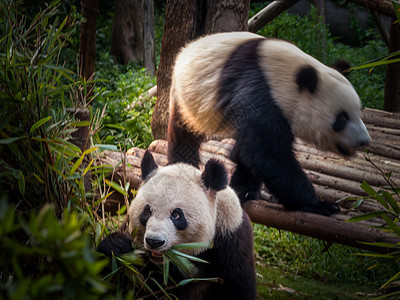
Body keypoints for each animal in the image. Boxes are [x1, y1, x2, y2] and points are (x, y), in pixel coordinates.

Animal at [97, 152, 256, 300]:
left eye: (176, 215)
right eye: (147, 211)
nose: (154, 241)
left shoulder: (232, 241)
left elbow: (237, 287)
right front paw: (117, 246)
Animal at [167, 31, 370, 217]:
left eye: (358, 112)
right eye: (342, 118)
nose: (364, 141)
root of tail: (188, 46)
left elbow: (255, 152)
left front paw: (244, 188)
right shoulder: (261, 91)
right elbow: (268, 153)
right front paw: (319, 205)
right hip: (187, 97)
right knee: (184, 135)